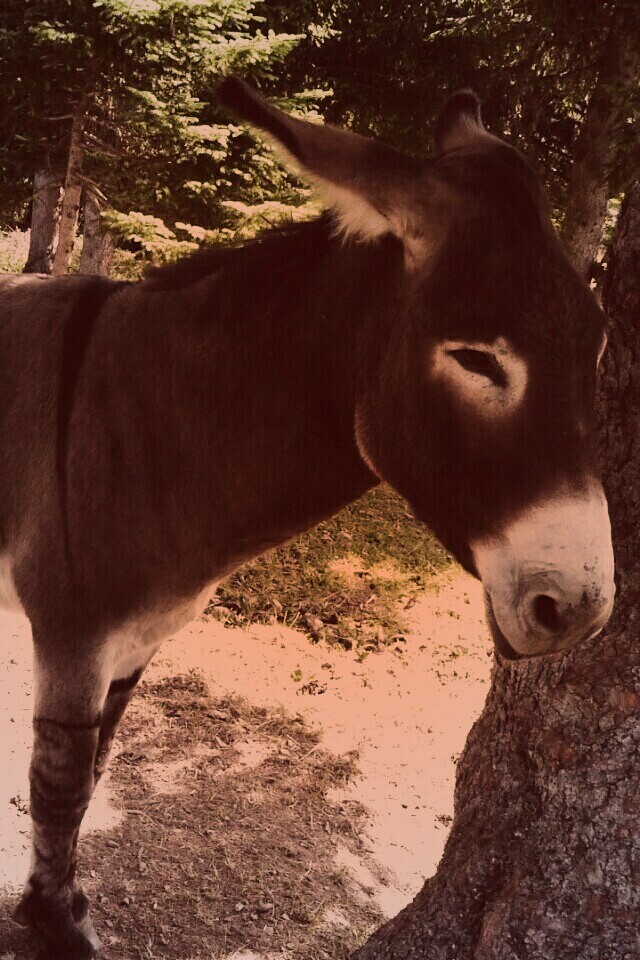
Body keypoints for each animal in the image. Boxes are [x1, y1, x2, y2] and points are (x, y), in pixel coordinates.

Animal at [0, 78, 614, 958]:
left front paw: (65, 904)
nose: (584, 609)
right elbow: (59, 785)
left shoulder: (138, 638)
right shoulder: (73, 633)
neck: (155, 418)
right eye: (476, 359)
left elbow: (97, 767)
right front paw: (51, 923)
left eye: (598, 346)